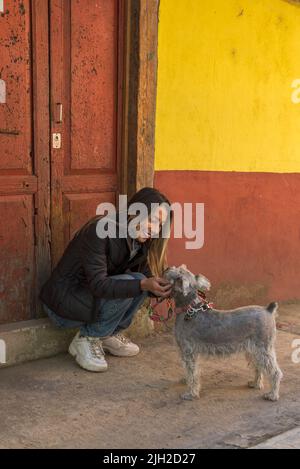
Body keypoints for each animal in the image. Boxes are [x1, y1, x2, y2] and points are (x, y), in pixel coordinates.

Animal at [163, 266, 282, 400]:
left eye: (179, 272)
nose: (167, 268)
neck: (188, 309)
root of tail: (268, 310)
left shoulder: (188, 351)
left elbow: (192, 373)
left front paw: (191, 393)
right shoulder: (189, 353)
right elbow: (190, 371)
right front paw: (186, 381)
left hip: (263, 349)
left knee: (275, 372)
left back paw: (272, 394)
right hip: (254, 351)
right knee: (259, 367)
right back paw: (255, 384)